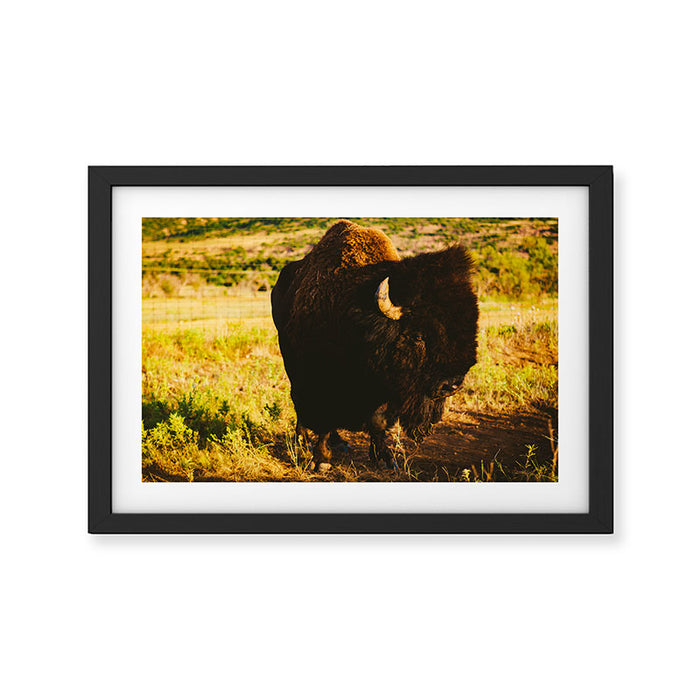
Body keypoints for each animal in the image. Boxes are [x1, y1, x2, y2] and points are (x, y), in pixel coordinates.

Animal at [271, 220, 479, 471]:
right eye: (418, 336)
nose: (452, 384)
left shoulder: (385, 388)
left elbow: (377, 421)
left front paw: (386, 458)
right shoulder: (319, 380)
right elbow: (323, 418)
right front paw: (321, 460)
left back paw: (339, 443)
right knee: (300, 406)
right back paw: (303, 442)